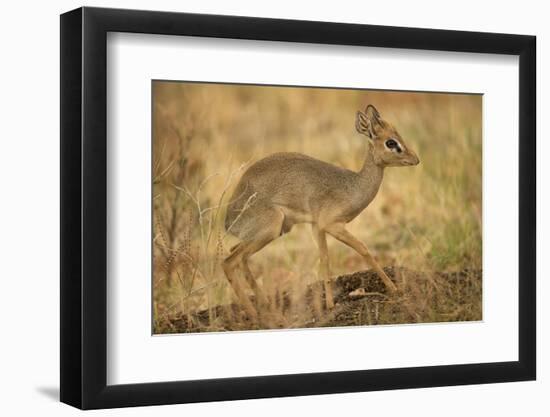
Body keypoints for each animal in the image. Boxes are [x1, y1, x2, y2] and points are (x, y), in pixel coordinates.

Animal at [222, 104, 420, 318]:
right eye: (391, 142)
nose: (415, 159)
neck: (353, 186)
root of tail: (228, 220)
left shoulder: (317, 227)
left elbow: (324, 259)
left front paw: (330, 304)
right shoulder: (332, 225)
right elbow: (363, 249)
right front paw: (394, 288)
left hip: (270, 233)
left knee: (238, 256)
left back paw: (265, 305)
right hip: (270, 229)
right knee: (230, 262)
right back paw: (254, 314)